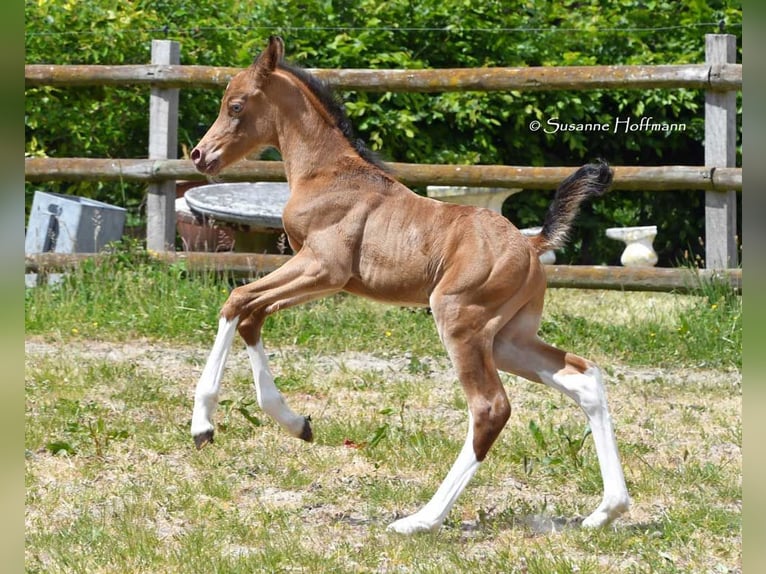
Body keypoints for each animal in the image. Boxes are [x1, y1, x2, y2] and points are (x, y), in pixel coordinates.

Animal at [189, 36, 629, 534]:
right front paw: (296, 423)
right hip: (507, 339)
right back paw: (605, 511)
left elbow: (237, 300)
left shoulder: (322, 267)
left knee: (490, 408)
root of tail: (531, 243)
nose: (200, 154)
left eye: (236, 105)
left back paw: (421, 520)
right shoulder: (323, 279)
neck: (327, 174)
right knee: (584, 378)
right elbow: (252, 315)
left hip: (460, 320)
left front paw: (203, 424)